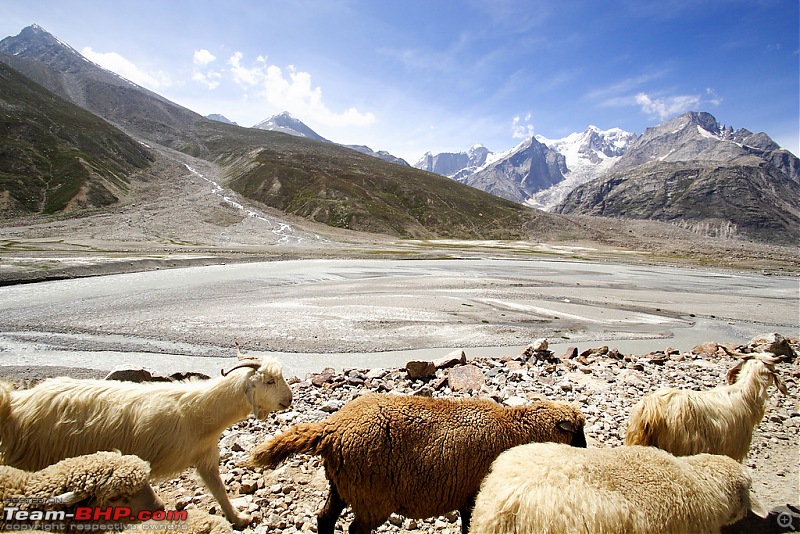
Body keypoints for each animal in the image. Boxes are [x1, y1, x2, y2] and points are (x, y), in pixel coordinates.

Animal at [247, 394, 584, 534]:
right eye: (578, 432)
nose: (586, 451)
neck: (513, 431)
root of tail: (333, 428)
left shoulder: (467, 495)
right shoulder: (476, 494)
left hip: (343, 485)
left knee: (324, 519)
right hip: (372, 495)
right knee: (355, 530)